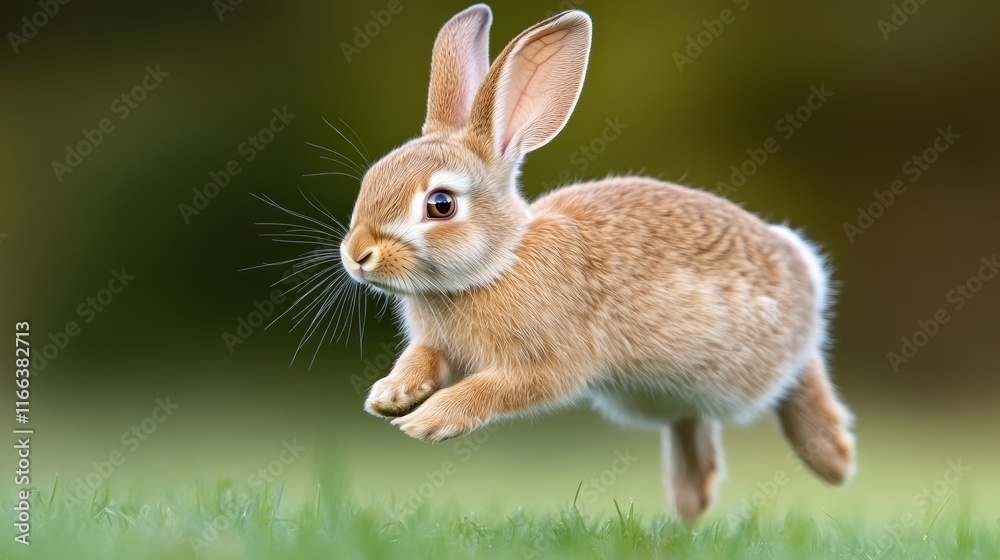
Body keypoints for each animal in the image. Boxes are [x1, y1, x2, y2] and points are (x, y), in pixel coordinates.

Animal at [339, 4, 855, 523]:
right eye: (371, 178)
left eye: (441, 205)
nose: (357, 255)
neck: (500, 261)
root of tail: (802, 265)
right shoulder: (438, 347)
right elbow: (420, 359)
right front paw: (389, 397)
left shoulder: (549, 361)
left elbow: (494, 389)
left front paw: (426, 422)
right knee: (692, 424)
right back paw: (693, 502)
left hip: (755, 367)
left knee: (802, 368)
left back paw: (834, 459)